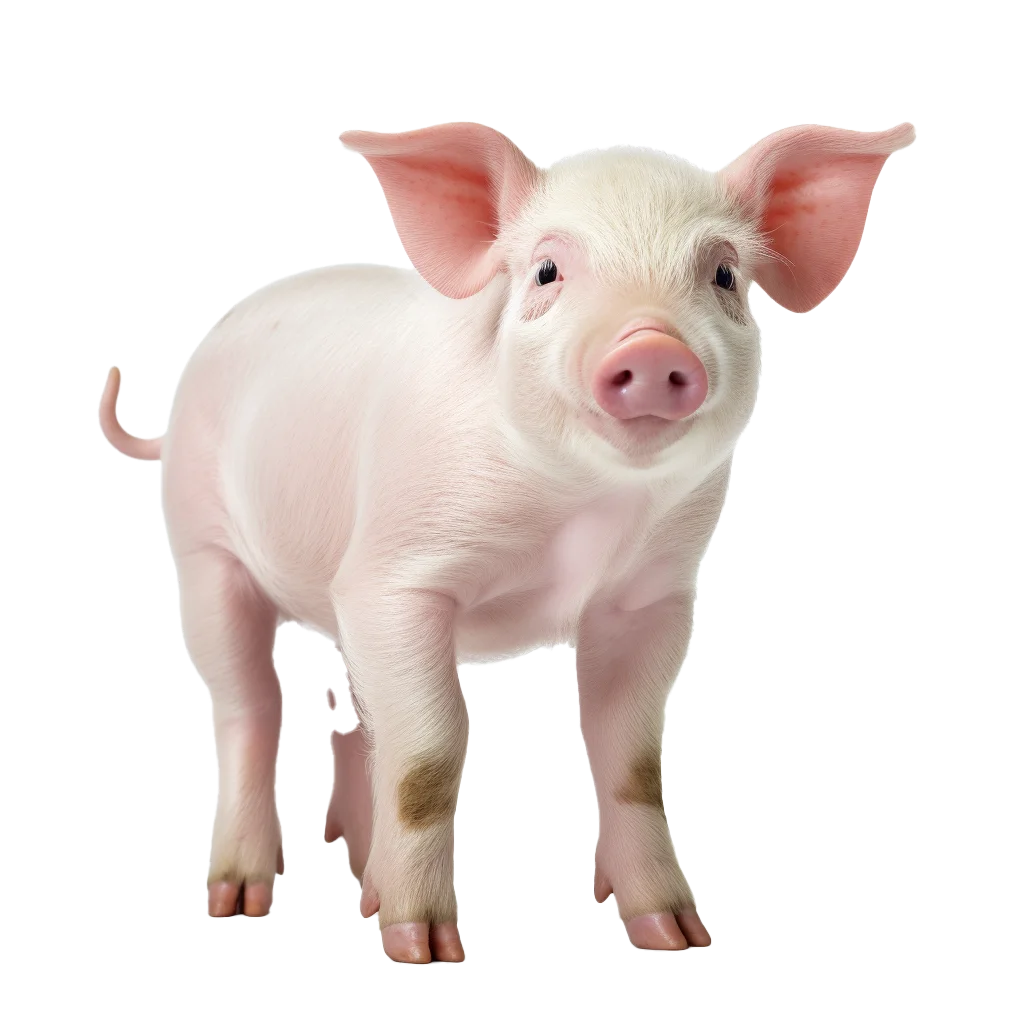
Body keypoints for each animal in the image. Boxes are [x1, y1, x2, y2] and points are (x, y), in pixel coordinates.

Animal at [97, 120, 916, 960]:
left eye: (723, 273)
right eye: (548, 269)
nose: (652, 346)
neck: (584, 506)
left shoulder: (650, 595)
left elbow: (633, 761)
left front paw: (674, 933)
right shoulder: (400, 577)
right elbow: (428, 755)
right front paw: (424, 948)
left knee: (357, 713)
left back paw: (365, 883)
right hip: (203, 548)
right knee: (250, 707)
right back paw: (242, 899)